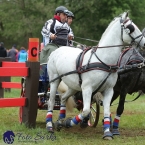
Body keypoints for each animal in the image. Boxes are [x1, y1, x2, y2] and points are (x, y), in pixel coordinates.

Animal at [46, 11, 145, 140]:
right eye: (131, 27)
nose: (144, 42)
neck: (103, 60)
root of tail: (57, 50)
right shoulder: (88, 89)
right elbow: (86, 110)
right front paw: (70, 122)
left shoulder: (109, 90)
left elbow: (107, 110)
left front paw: (107, 132)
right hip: (54, 81)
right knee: (51, 101)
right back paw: (50, 125)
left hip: (73, 86)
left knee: (63, 98)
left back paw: (60, 121)